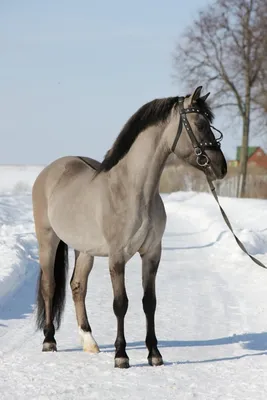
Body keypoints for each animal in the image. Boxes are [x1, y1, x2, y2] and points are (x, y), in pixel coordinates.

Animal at [32, 86, 227, 368]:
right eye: (200, 124)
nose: (221, 167)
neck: (134, 191)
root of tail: (50, 171)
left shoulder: (152, 254)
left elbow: (149, 302)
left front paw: (154, 354)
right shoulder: (118, 257)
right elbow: (120, 303)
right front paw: (121, 356)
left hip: (85, 250)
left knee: (78, 287)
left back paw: (89, 342)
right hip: (48, 240)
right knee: (50, 286)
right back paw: (49, 341)